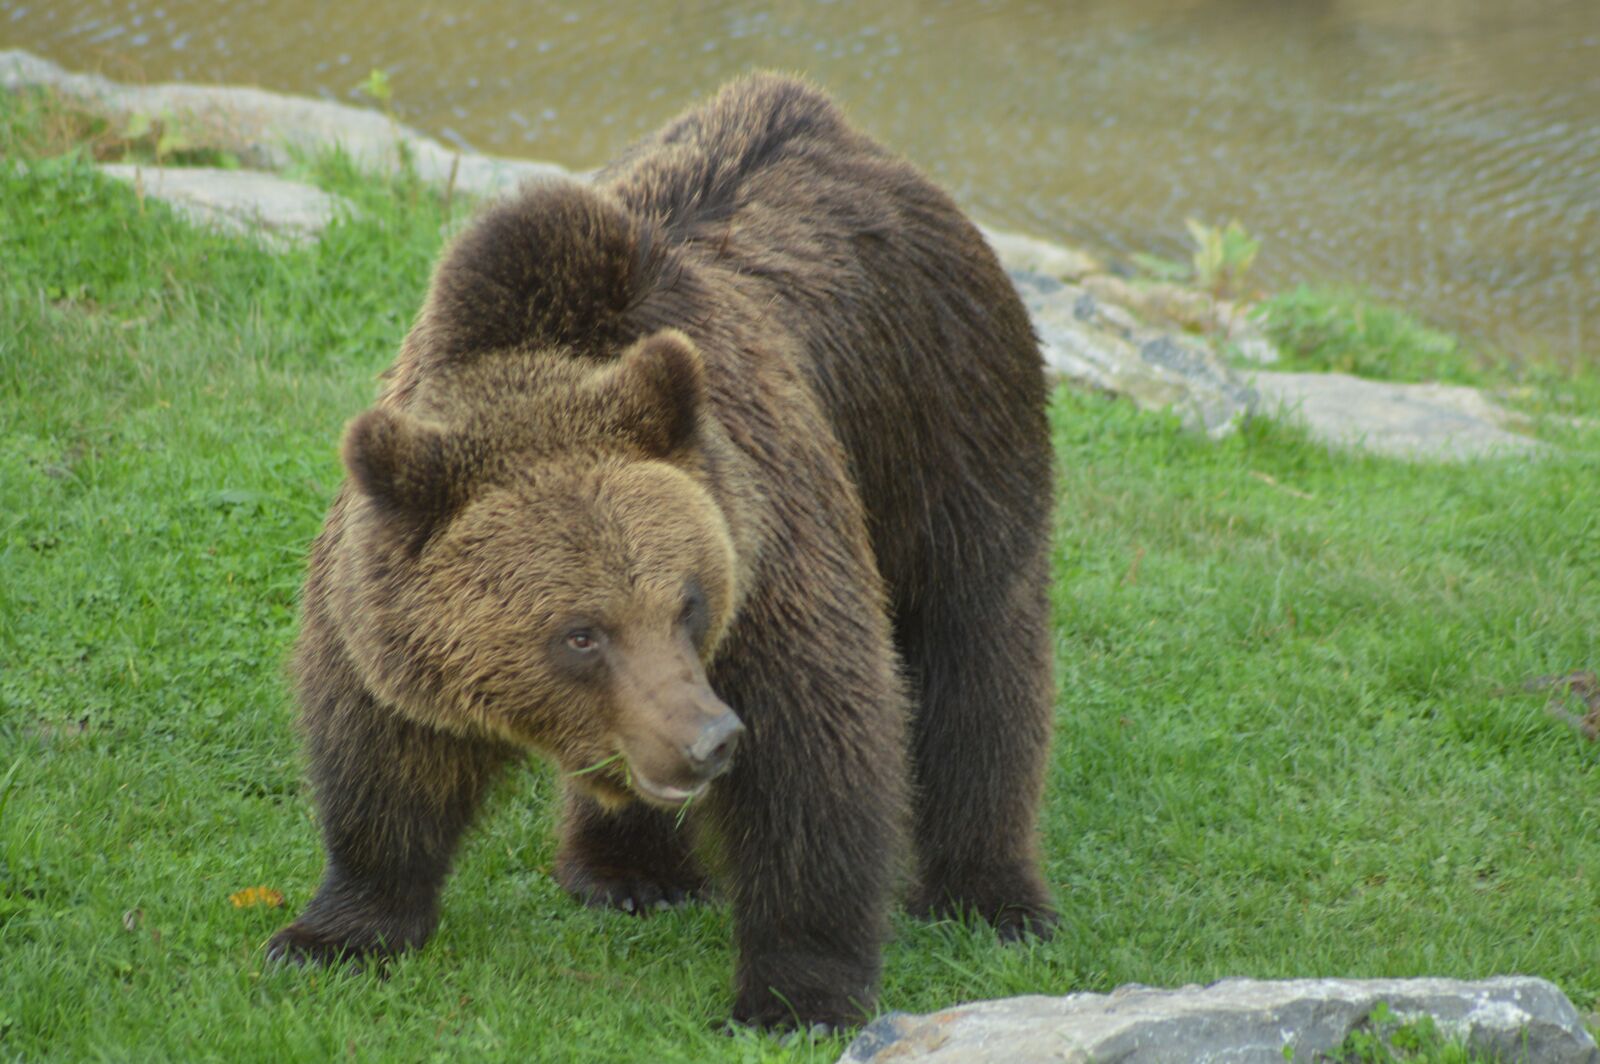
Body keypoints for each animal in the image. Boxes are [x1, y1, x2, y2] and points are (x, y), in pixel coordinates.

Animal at [267, 72, 1057, 1031]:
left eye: (689, 601)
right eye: (579, 633)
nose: (708, 739)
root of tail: (835, 124)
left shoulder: (768, 547)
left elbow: (818, 750)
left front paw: (794, 993)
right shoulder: (382, 594)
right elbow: (383, 747)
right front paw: (335, 931)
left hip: (947, 418)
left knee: (976, 648)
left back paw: (991, 896)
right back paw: (624, 870)